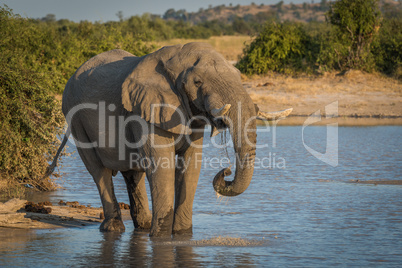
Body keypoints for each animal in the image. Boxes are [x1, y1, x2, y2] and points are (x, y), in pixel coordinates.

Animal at [47, 42, 292, 237]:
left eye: (239, 76)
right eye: (197, 82)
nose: (226, 172)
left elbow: (190, 165)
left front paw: (182, 236)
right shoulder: (145, 109)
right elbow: (161, 165)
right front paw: (161, 238)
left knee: (133, 173)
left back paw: (143, 227)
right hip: (75, 119)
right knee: (99, 172)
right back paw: (115, 229)